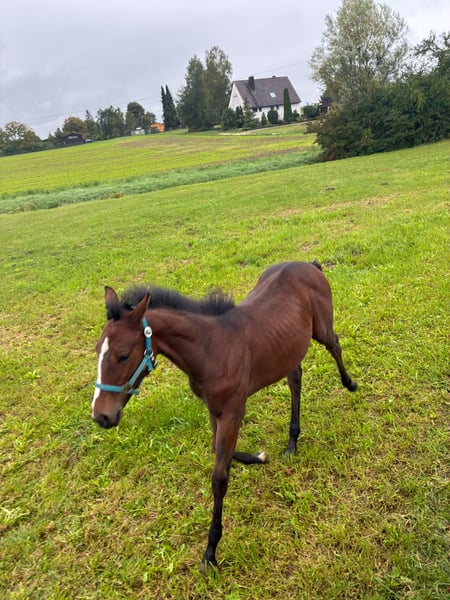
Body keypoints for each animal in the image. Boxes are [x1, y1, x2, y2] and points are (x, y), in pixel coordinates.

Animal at [92, 261, 357, 572]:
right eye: (97, 350)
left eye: (123, 355)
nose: (101, 416)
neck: (210, 349)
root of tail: (310, 265)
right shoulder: (214, 409)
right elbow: (219, 451)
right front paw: (258, 457)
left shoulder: (232, 411)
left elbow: (219, 477)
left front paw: (211, 551)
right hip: (289, 348)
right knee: (295, 378)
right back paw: (292, 441)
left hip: (321, 328)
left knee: (335, 344)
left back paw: (350, 384)